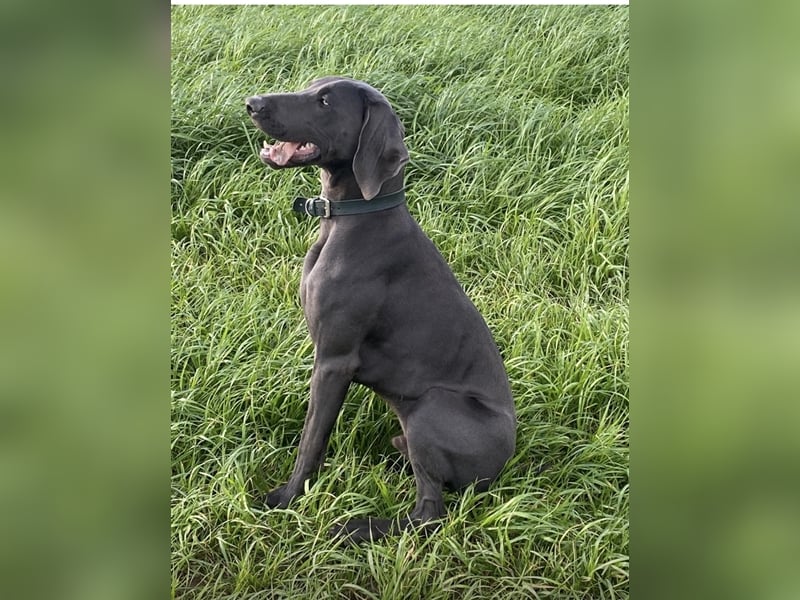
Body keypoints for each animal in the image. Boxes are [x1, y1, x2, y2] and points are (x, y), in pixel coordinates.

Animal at [245, 76, 520, 544]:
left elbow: (311, 440)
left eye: (324, 102)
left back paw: (354, 526)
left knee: (430, 512)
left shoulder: (334, 361)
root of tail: (506, 462)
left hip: (430, 408)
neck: (349, 221)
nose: (252, 103)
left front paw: (285, 500)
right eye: (311, 84)